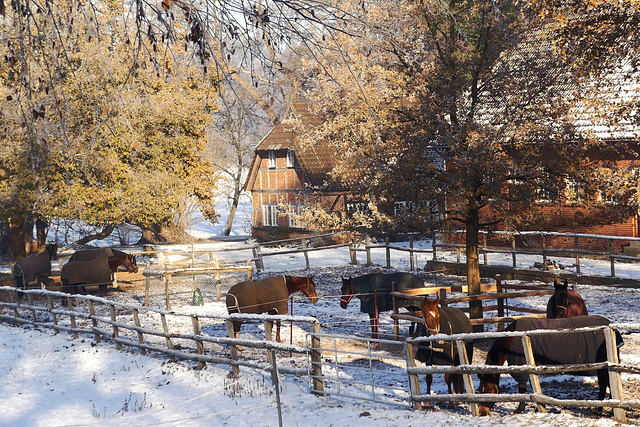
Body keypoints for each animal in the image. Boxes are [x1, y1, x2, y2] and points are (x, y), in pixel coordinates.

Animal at [478, 316, 624, 416]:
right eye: (479, 390)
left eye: (487, 389)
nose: (482, 412)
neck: (512, 339)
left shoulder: (522, 367)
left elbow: (522, 388)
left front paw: (521, 408)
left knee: (607, 384)